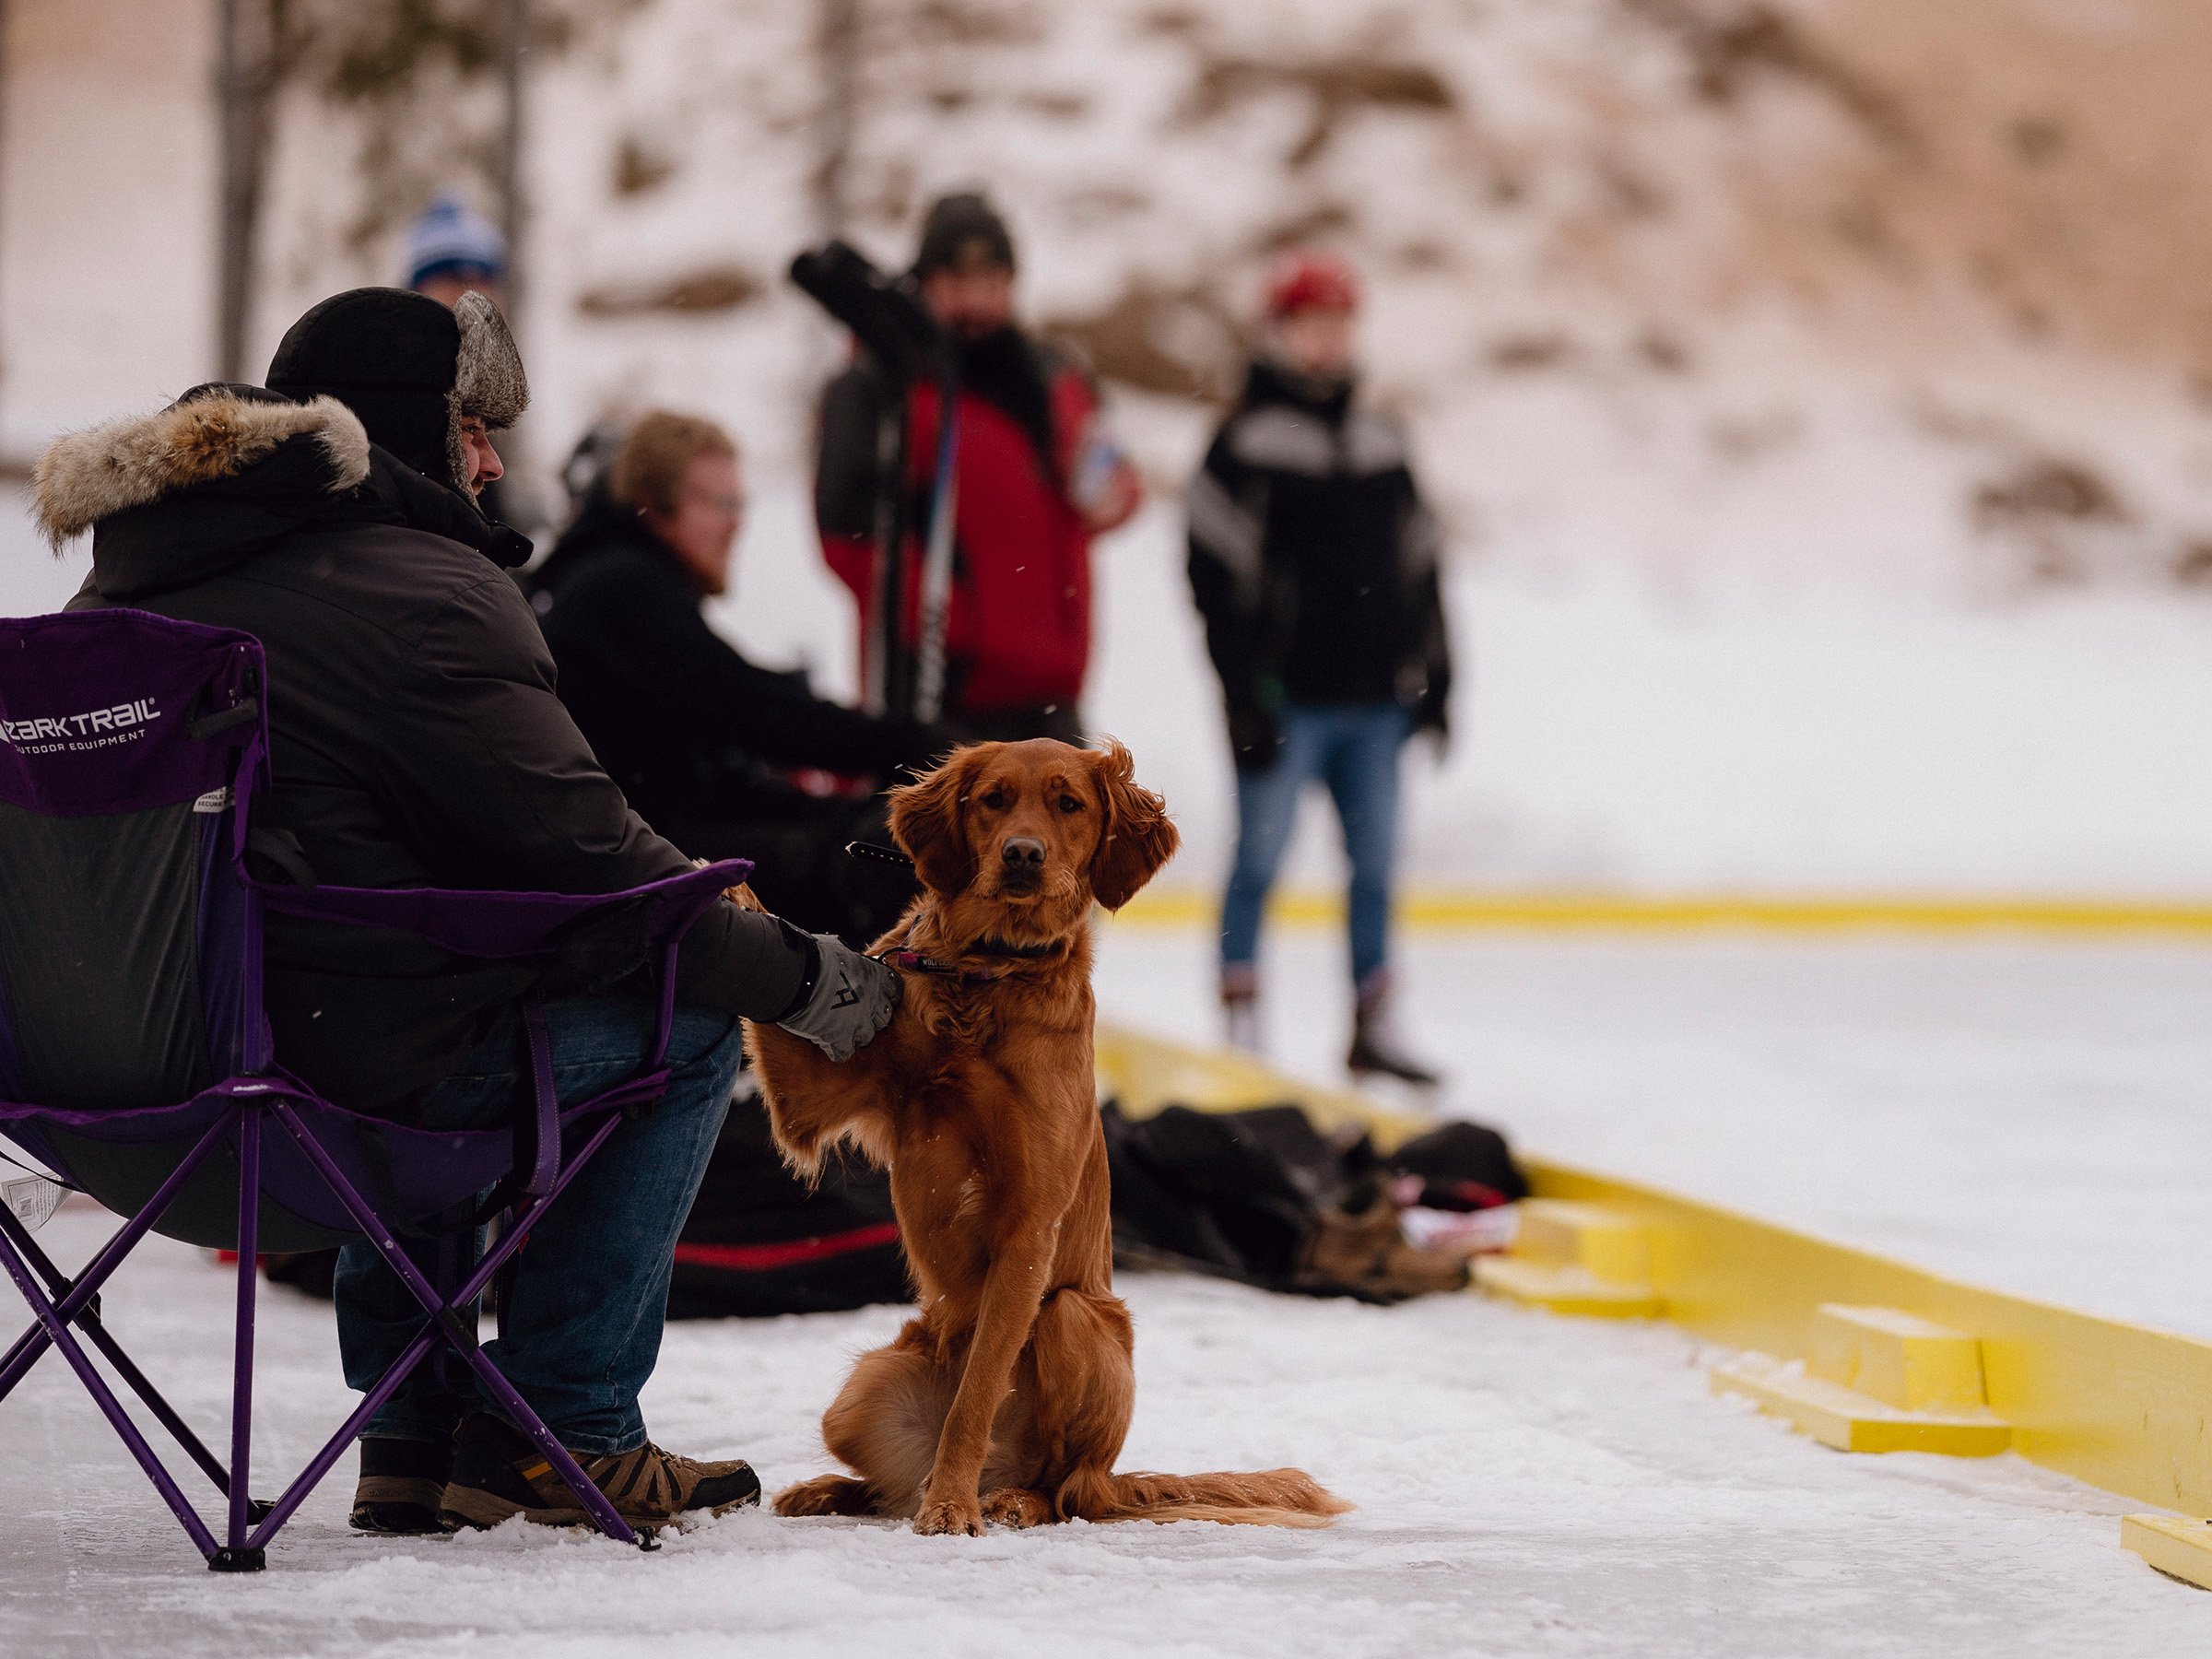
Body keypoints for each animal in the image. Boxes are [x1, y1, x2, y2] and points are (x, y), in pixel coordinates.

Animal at [747, 747, 1345, 1539]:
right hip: (859, 1394)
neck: (985, 975)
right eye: (994, 800)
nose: (1023, 854)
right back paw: (829, 1490)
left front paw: (951, 1505)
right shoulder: (809, 1100)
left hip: (1074, 1320)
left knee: (1066, 1490)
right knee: (882, 1485)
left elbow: (975, 1397)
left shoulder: (1029, 1227)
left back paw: (1003, 1499)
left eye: (1069, 805)